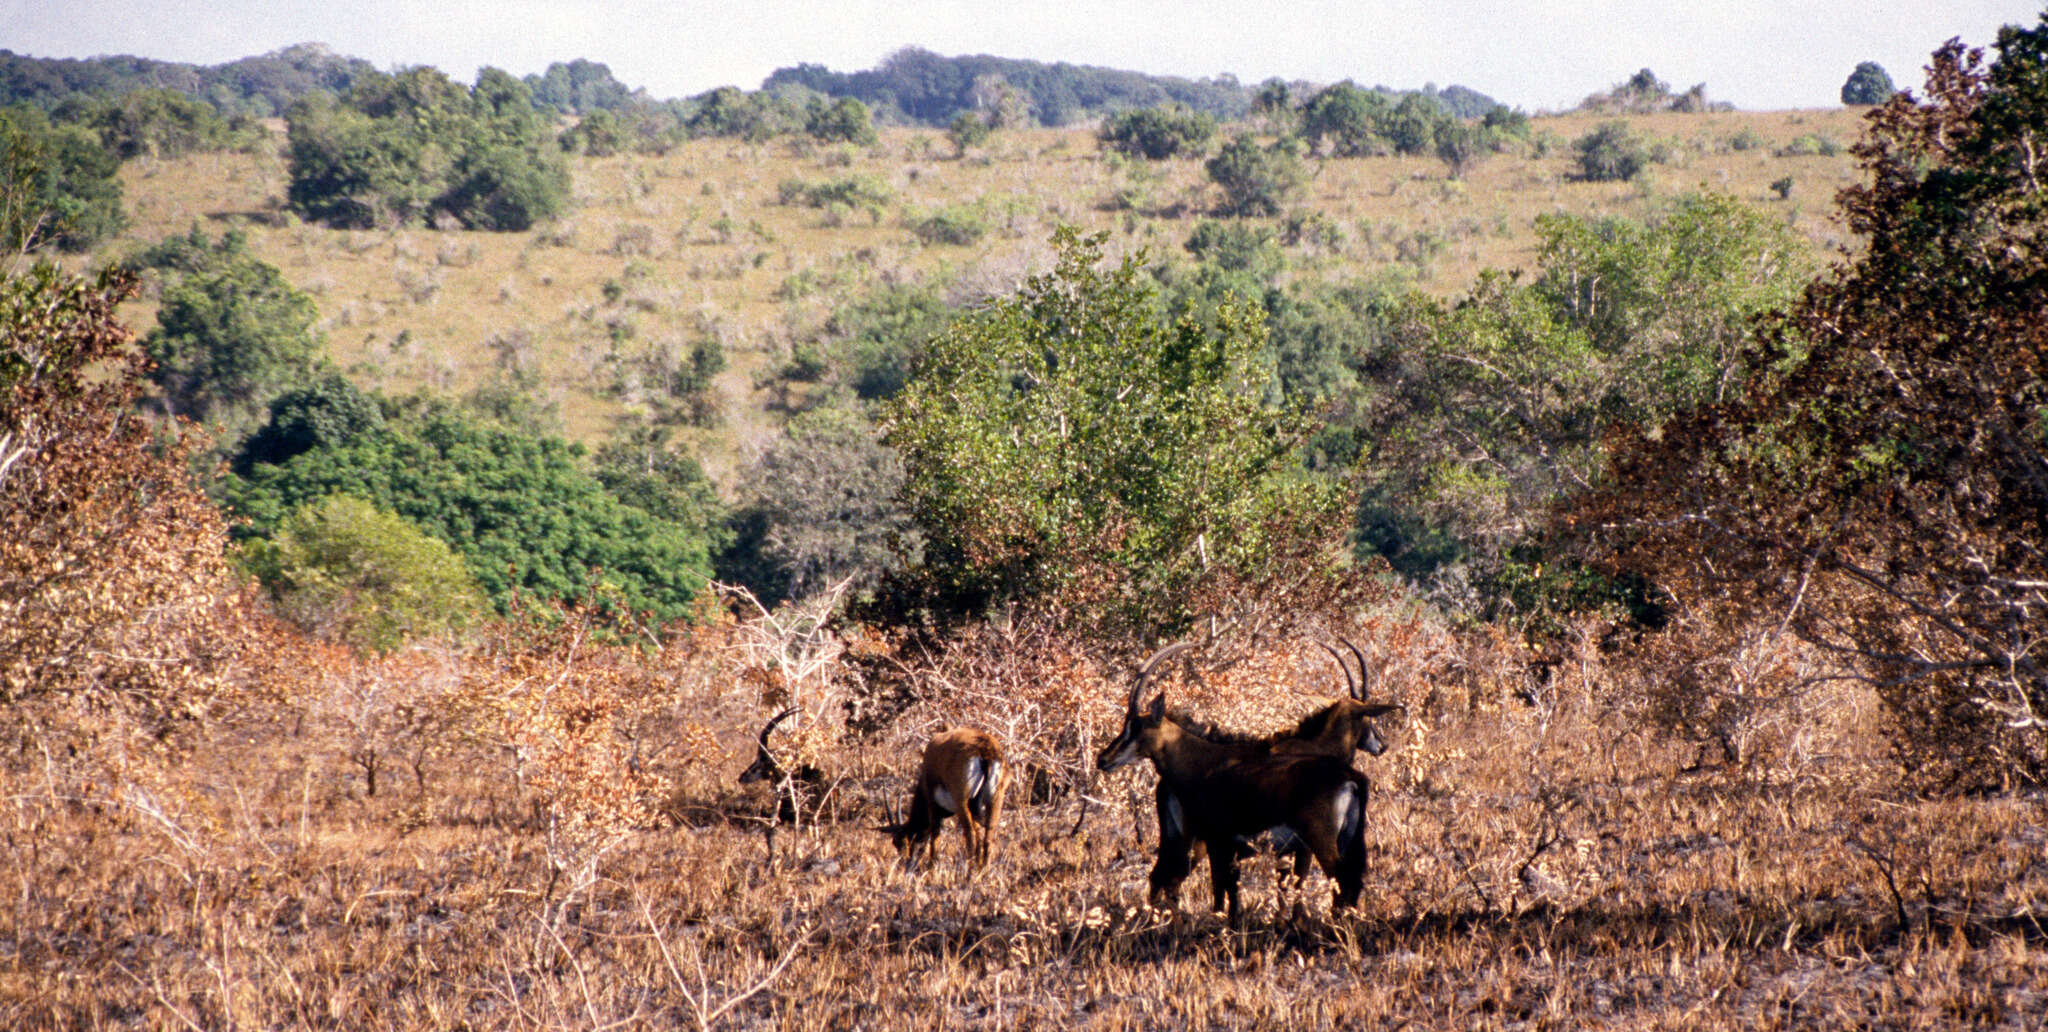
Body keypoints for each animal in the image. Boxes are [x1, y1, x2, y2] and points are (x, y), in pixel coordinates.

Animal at [880, 724, 1007, 872]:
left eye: (898, 841)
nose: (903, 864)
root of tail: (985, 750)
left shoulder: (932, 804)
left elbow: (935, 835)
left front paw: (931, 868)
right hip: (995, 800)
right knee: (987, 836)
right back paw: (983, 872)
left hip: (961, 802)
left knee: (970, 834)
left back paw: (969, 873)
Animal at [1097, 642, 1368, 921]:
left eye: (1137, 727)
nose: (1103, 759)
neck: (1202, 761)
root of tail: (1350, 777)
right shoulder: (1223, 844)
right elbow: (1229, 890)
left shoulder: (1219, 840)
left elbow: (1224, 888)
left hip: (1319, 840)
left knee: (1342, 880)